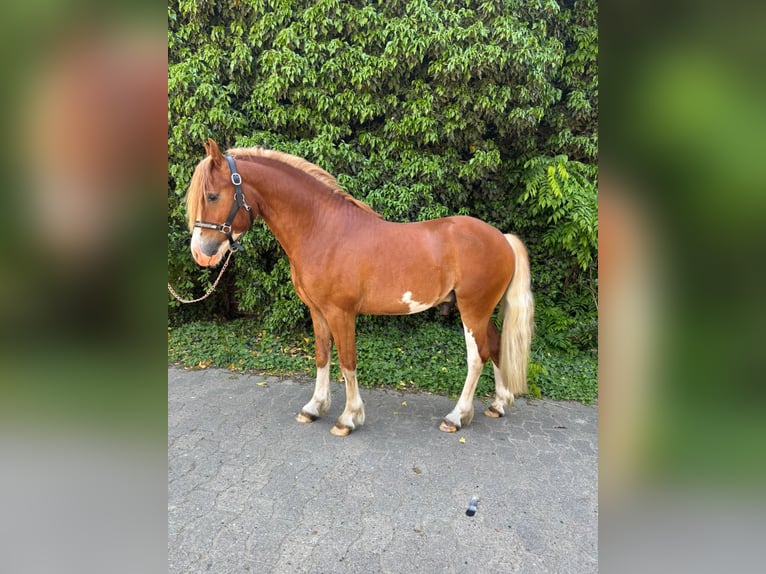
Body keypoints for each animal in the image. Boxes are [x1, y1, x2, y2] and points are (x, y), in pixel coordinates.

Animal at [185, 138, 534, 436]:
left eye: (212, 195)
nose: (201, 253)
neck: (321, 229)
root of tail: (502, 238)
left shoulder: (341, 313)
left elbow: (347, 361)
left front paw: (348, 418)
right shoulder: (317, 311)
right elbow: (322, 356)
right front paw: (314, 407)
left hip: (472, 310)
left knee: (477, 357)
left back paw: (456, 417)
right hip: (482, 311)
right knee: (495, 346)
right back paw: (498, 404)